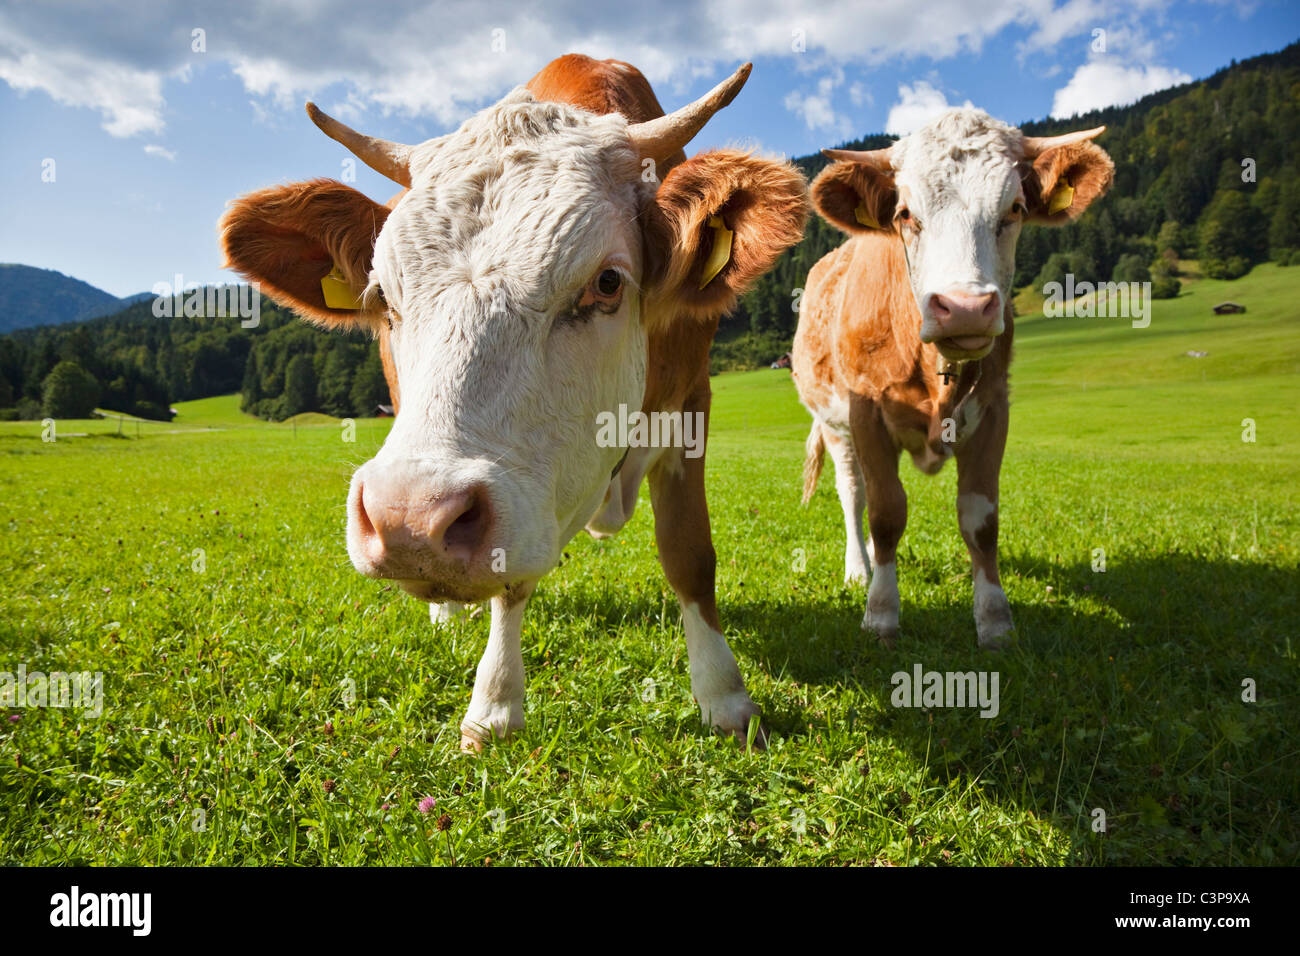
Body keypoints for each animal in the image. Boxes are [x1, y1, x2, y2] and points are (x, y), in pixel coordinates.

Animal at [218, 55, 806, 749]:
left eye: (608, 282)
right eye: (384, 295)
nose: (409, 519)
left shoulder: (692, 402)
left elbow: (689, 553)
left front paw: (724, 695)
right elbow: (509, 587)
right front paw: (495, 705)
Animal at [790, 110, 1118, 650]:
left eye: (1016, 207)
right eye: (905, 213)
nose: (965, 307)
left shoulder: (994, 408)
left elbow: (980, 520)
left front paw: (995, 621)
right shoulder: (866, 412)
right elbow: (885, 512)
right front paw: (881, 614)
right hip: (836, 426)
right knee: (852, 491)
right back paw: (859, 569)